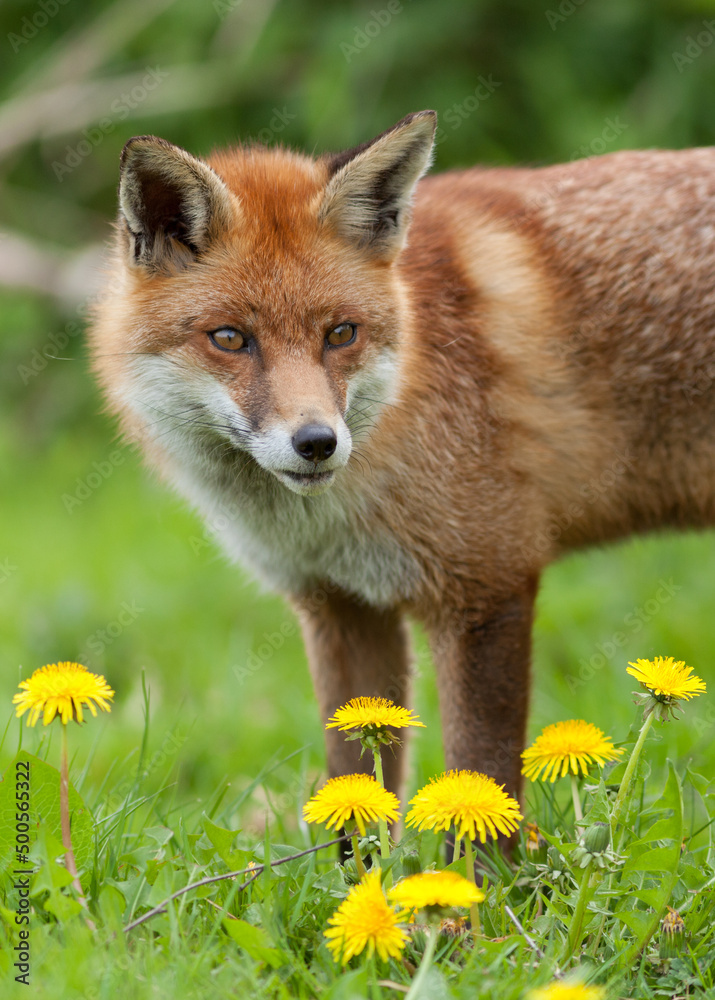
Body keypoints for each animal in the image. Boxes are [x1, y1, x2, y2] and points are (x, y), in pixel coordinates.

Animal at [90, 110, 715, 823]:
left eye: (341, 333)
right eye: (229, 338)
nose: (317, 443)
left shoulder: (487, 589)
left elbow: (480, 789)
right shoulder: (343, 608)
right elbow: (353, 792)